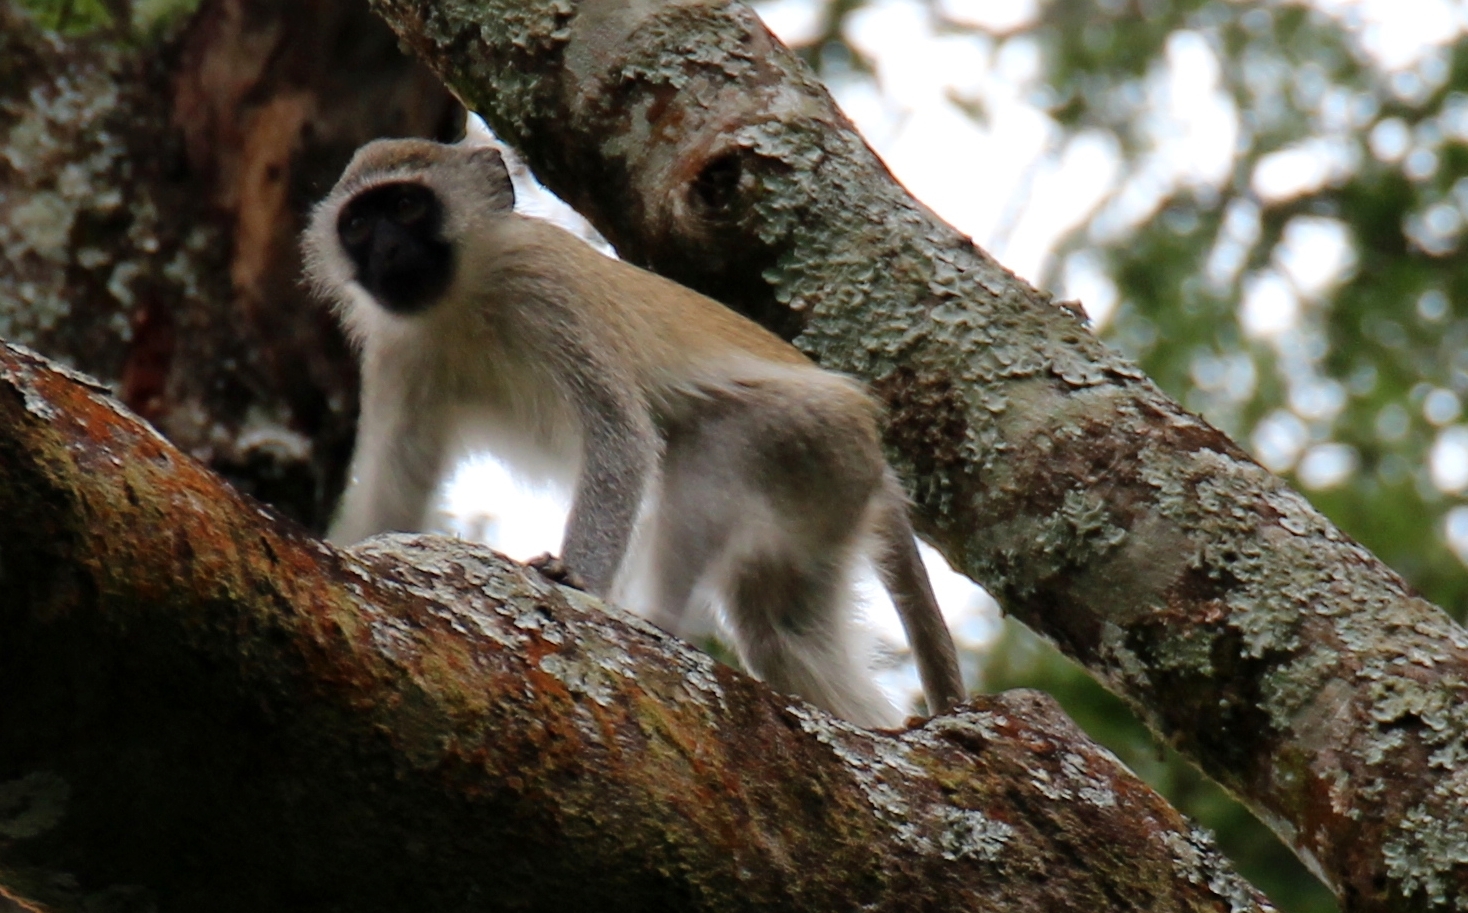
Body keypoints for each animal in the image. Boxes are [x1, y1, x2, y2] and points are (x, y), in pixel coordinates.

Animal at [298, 137, 963, 730]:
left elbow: (620, 435)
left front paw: (576, 578)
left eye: (407, 206)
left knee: (713, 447)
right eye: (359, 225)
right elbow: (393, 500)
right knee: (780, 630)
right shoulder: (397, 356)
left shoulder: (542, 287)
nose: (386, 249)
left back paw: (657, 619)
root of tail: (878, 460)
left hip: (819, 437)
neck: (460, 300)